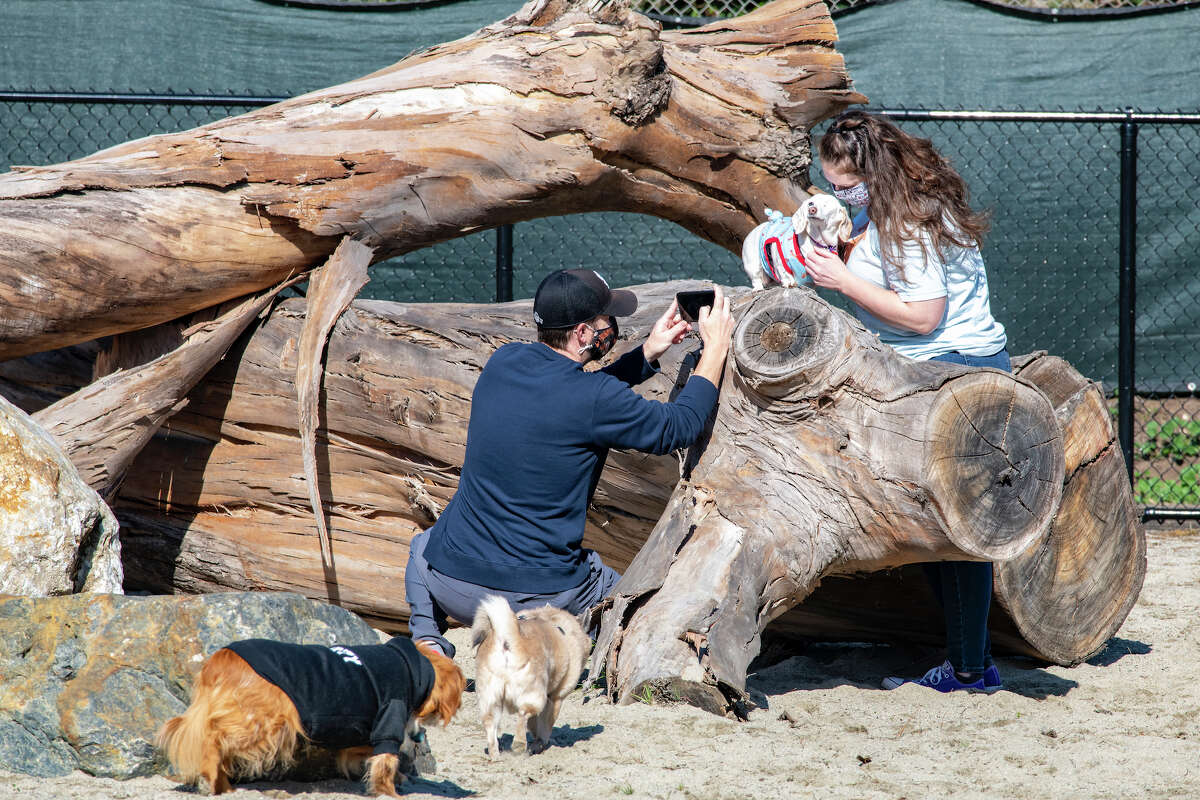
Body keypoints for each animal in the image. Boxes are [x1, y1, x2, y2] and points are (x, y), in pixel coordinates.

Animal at [156, 633, 463, 796]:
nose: (417, 735)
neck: (414, 667)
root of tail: (221, 659)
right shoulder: (390, 715)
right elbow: (386, 760)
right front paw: (390, 791)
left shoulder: (362, 733)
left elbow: (364, 754)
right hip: (264, 724)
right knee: (213, 737)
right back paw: (212, 775)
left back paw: (223, 783)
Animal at [472, 597, 595, 762]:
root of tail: (506, 639)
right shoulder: (555, 698)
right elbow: (545, 725)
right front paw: (541, 743)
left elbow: (534, 724)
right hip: (534, 693)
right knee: (523, 713)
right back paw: (519, 744)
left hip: (490, 697)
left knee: (490, 723)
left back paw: (496, 755)